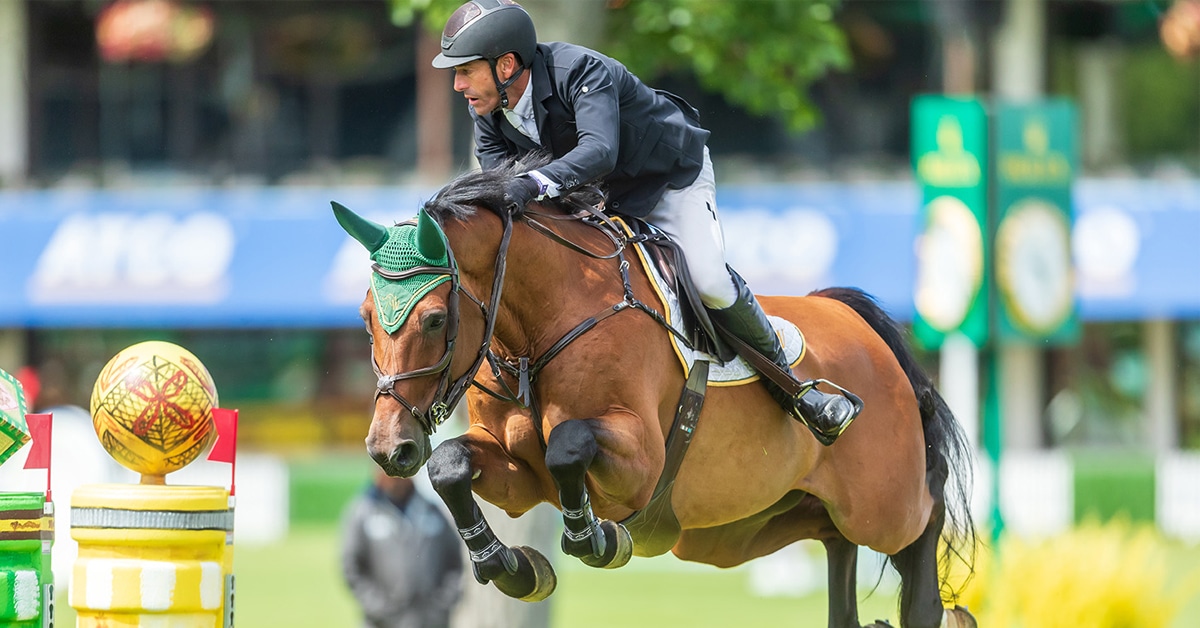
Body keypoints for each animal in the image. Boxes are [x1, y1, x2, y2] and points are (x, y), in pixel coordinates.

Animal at [332, 155, 977, 628]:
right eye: (365, 318)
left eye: (435, 320)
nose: (389, 449)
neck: (536, 329)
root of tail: (857, 321)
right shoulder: (519, 474)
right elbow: (450, 464)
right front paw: (514, 568)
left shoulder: (638, 461)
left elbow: (569, 444)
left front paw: (595, 538)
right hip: (766, 523)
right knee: (838, 548)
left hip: (881, 504)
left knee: (925, 516)